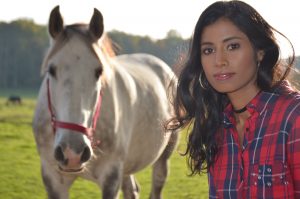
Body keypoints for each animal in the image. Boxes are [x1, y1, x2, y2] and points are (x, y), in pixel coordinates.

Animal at [32, 5, 178, 198]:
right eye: (51, 69)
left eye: (99, 71)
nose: (72, 152)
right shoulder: (53, 179)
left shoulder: (111, 176)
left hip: (163, 155)